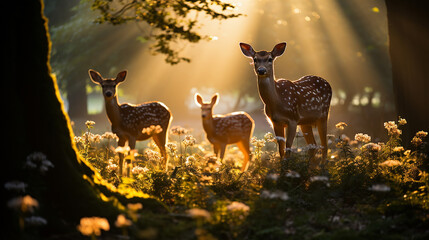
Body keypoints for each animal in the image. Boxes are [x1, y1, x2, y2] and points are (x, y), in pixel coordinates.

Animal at [239, 42, 332, 170]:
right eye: (255, 59)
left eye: (270, 59)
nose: (261, 70)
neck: (278, 101)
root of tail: (327, 83)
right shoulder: (275, 122)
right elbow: (281, 149)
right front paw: (282, 170)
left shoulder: (292, 119)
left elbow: (288, 148)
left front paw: (287, 170)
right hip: (305, 122)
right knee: (313, 146)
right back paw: (312, 170)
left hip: (323, 115)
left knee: (324, 145)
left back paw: (322, 169)